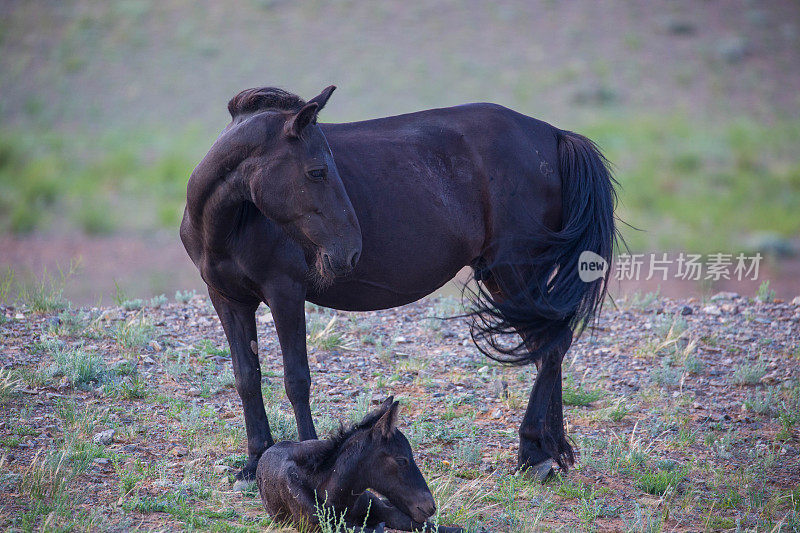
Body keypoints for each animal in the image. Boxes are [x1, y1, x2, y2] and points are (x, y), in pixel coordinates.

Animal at [181, 84, 616, 482]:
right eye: (317, 171)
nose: (350, 251)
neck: (232, 221)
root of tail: (554, 134)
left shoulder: (285, 293)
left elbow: (296, 379)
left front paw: (303, 457)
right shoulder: (227, 300)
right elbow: (247, 378)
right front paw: (254, 461)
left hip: (516, 275)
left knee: (552, 345)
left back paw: (532, 451)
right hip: (508, 280)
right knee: (547, 348)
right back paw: (547, 452)